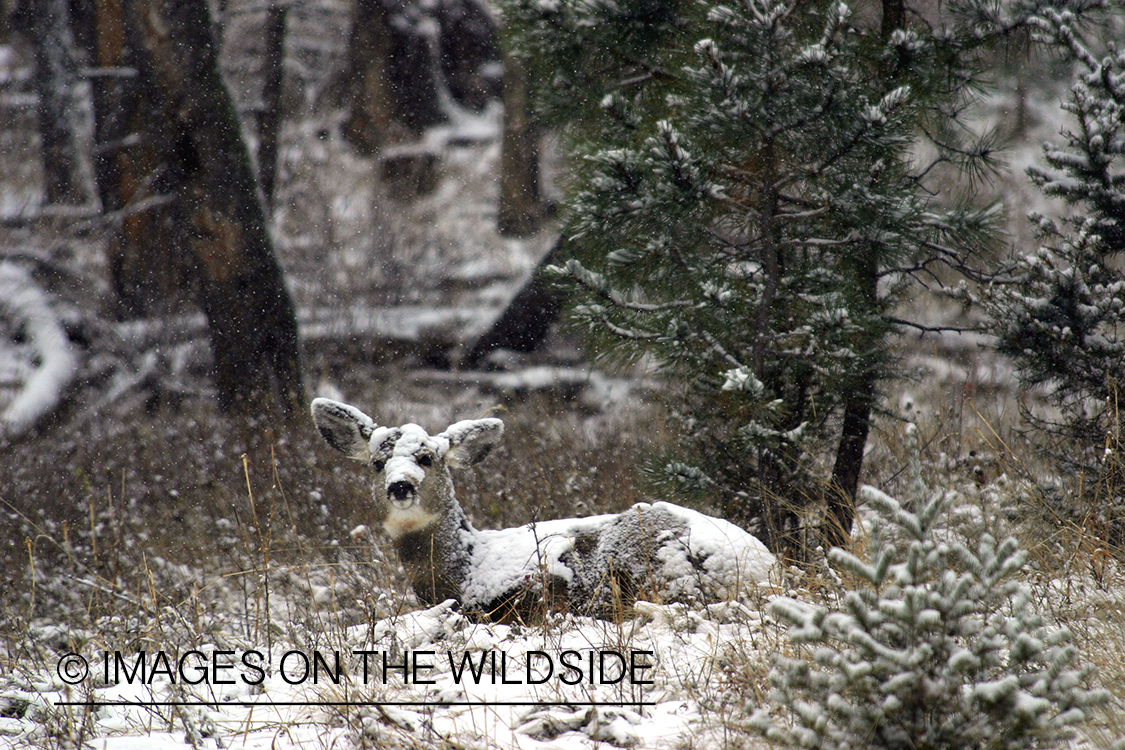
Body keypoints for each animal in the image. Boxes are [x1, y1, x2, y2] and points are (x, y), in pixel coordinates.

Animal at [311, 398, 776, 621]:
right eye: (377, 462)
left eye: (427, 458)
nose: (400, 485)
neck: (468, 568)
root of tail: (766, 568)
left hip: (661, 568)